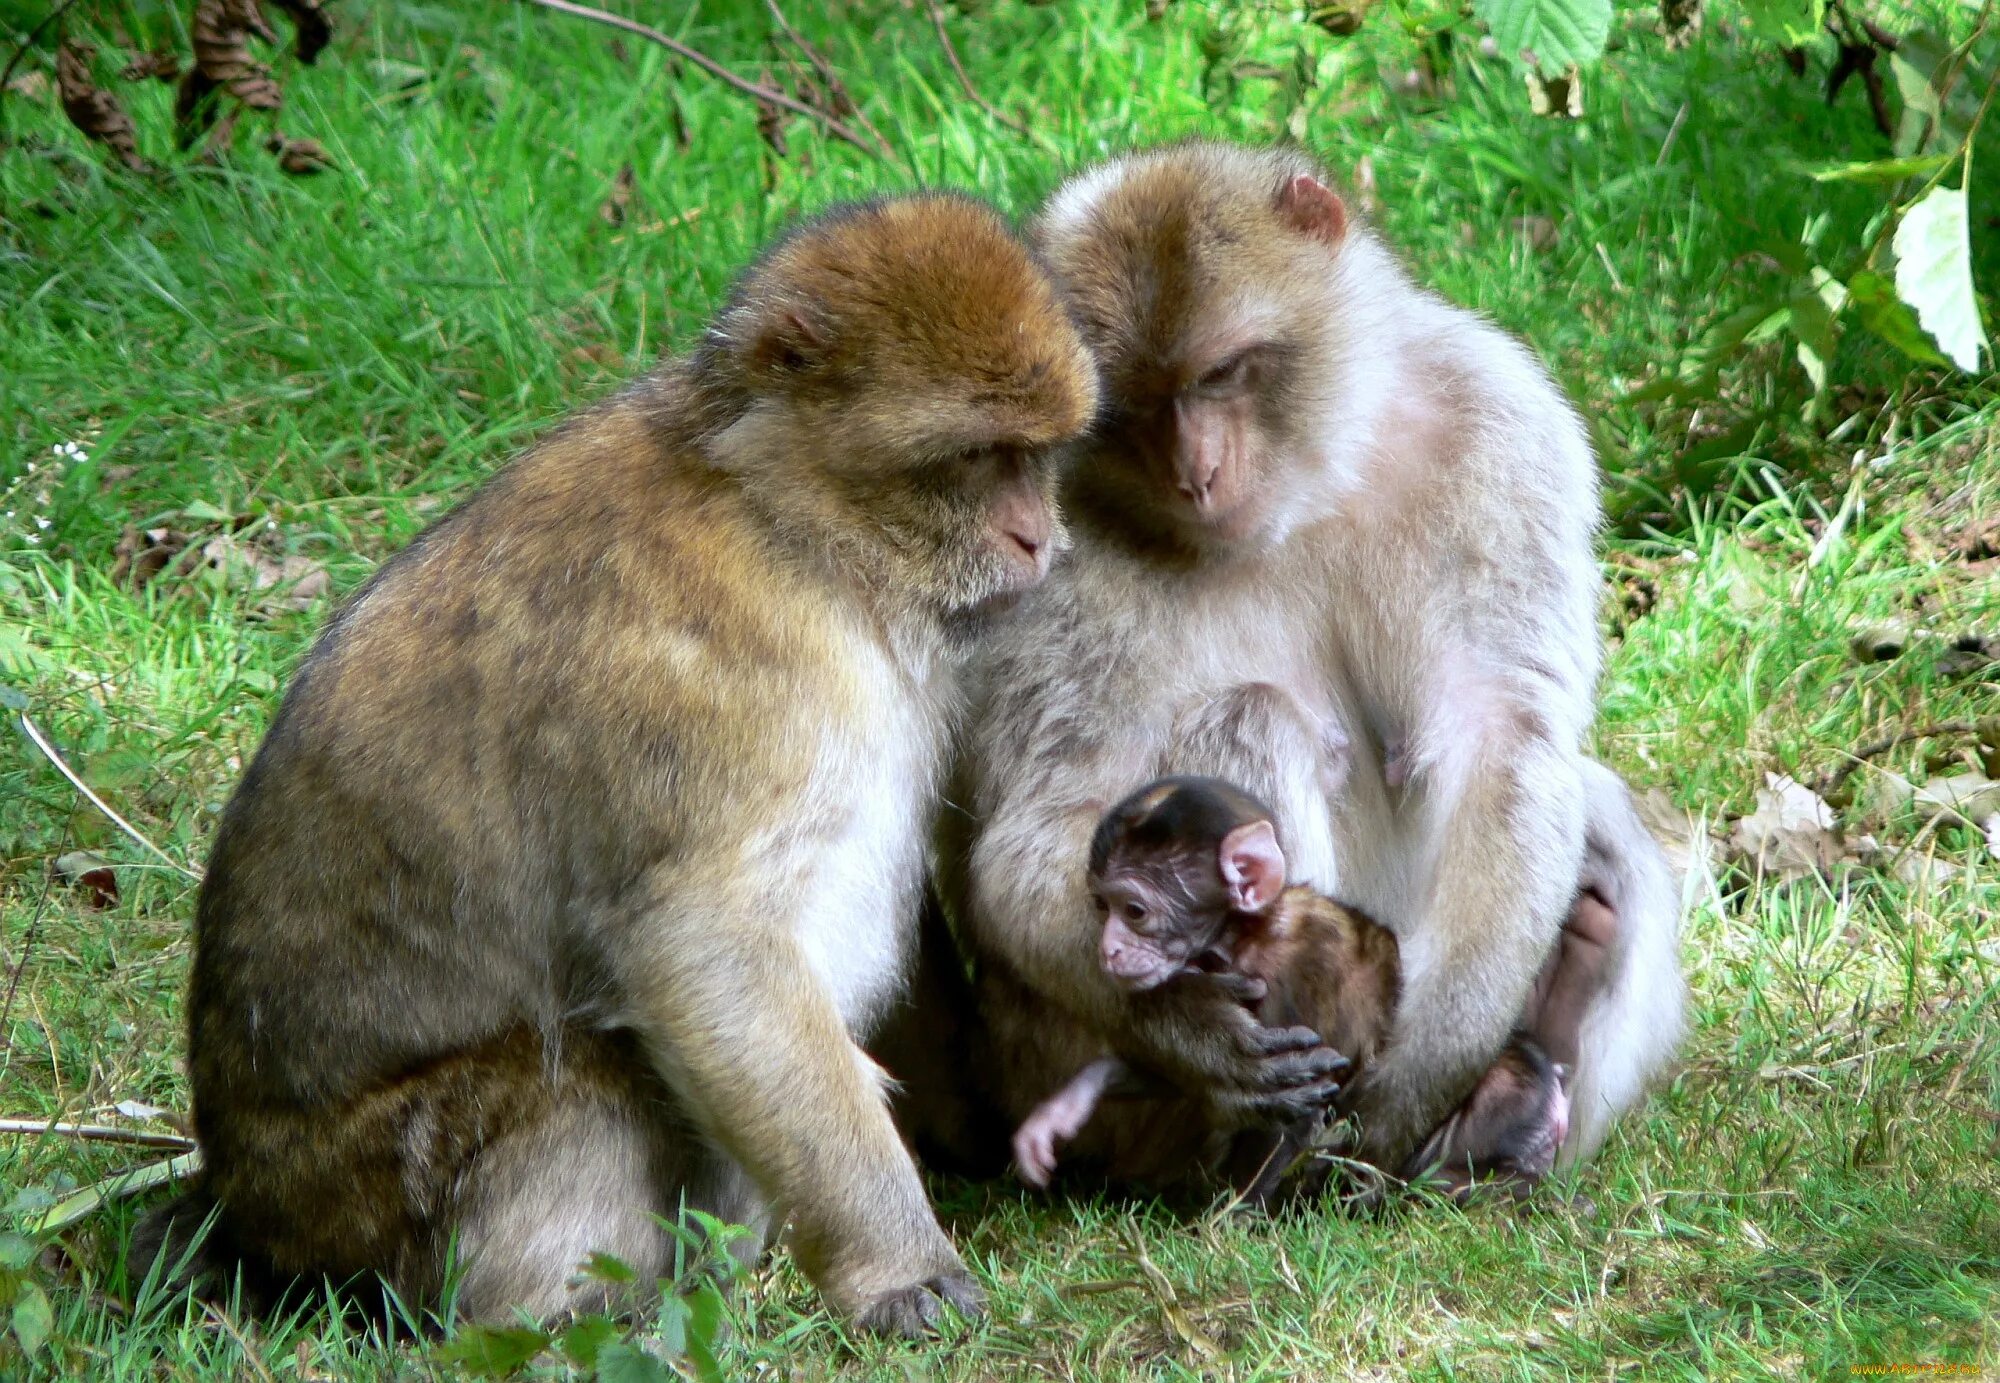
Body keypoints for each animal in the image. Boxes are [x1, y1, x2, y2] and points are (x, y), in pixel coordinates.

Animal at [139, 194, 1096, 1343]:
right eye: (977, 457)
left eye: (1039, 456)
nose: (1037, 537)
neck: (786, 523)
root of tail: (248, 1218)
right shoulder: (712, 691)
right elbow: (704, 946)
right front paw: (897, 1268)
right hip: (376, 1194)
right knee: (585, 1080)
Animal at [1016, 771, 1560, 1207]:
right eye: (1101, 906)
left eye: (1134, 910)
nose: (1107, 950)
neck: (1247, 937)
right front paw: (1070, 1105)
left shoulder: (1300, 968)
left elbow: (1301, 1110)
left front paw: (1231, 1223)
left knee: (1508, 1084)